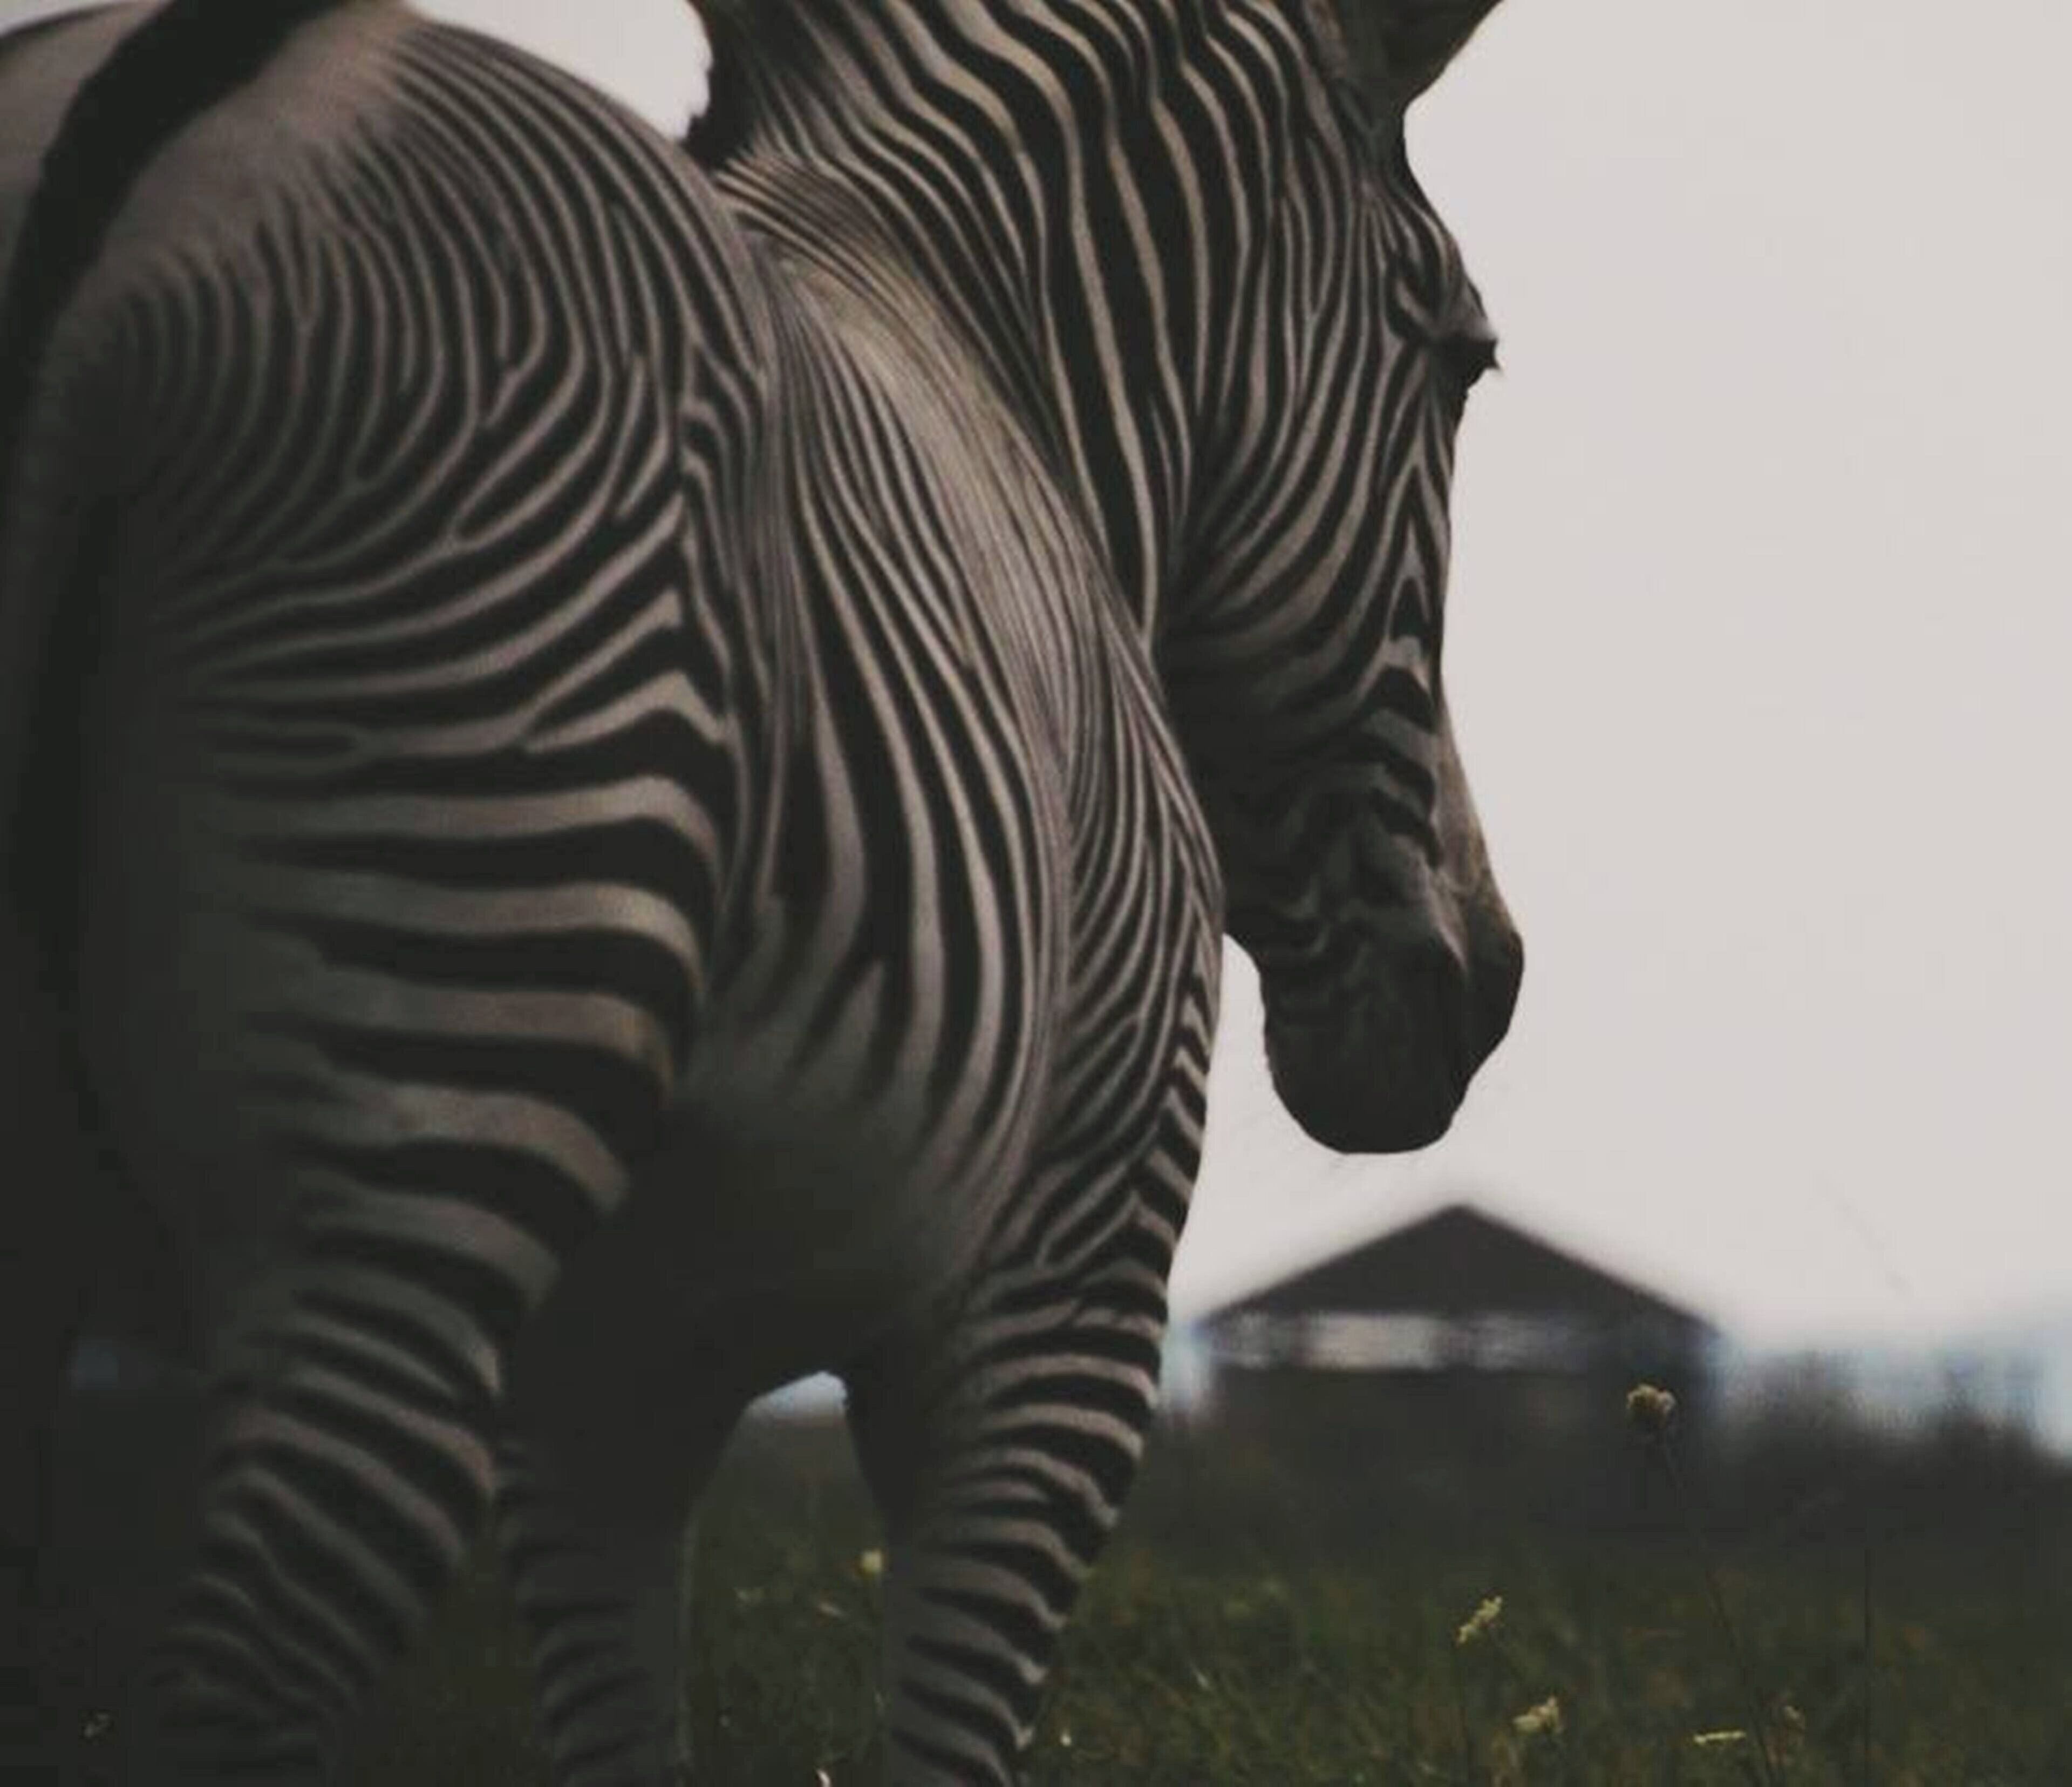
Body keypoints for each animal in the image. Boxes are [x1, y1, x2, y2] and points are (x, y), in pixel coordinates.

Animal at [0, 0, 1522, 1779]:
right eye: (1465, 362)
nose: (1487, 985)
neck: (998, 362)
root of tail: (173, 107)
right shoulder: (1058, 1311)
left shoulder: (605, 1389)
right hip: (436, 1061)